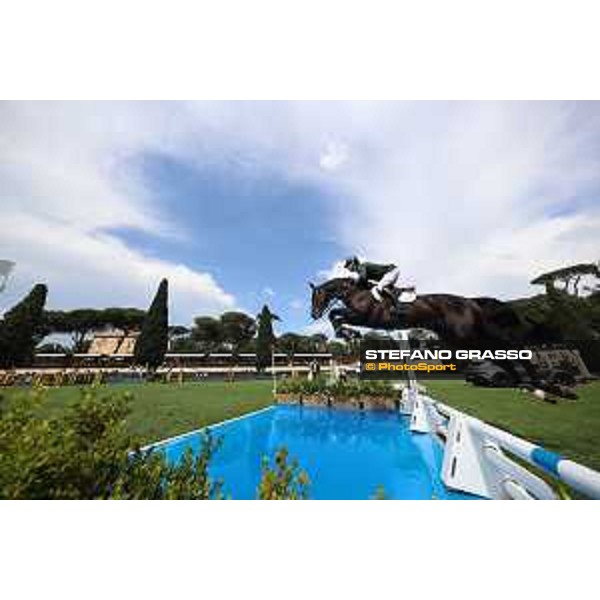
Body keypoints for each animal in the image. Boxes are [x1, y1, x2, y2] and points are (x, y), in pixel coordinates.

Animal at [310, 278, 524, 344]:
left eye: (316, 297)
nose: (314, 315)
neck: (355, 292)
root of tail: (470, 302)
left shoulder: (364, 317)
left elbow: (335, 315)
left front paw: (348, 334)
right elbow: (335, 315)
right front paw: (348, 334)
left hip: (468, 334)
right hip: (453, 336)